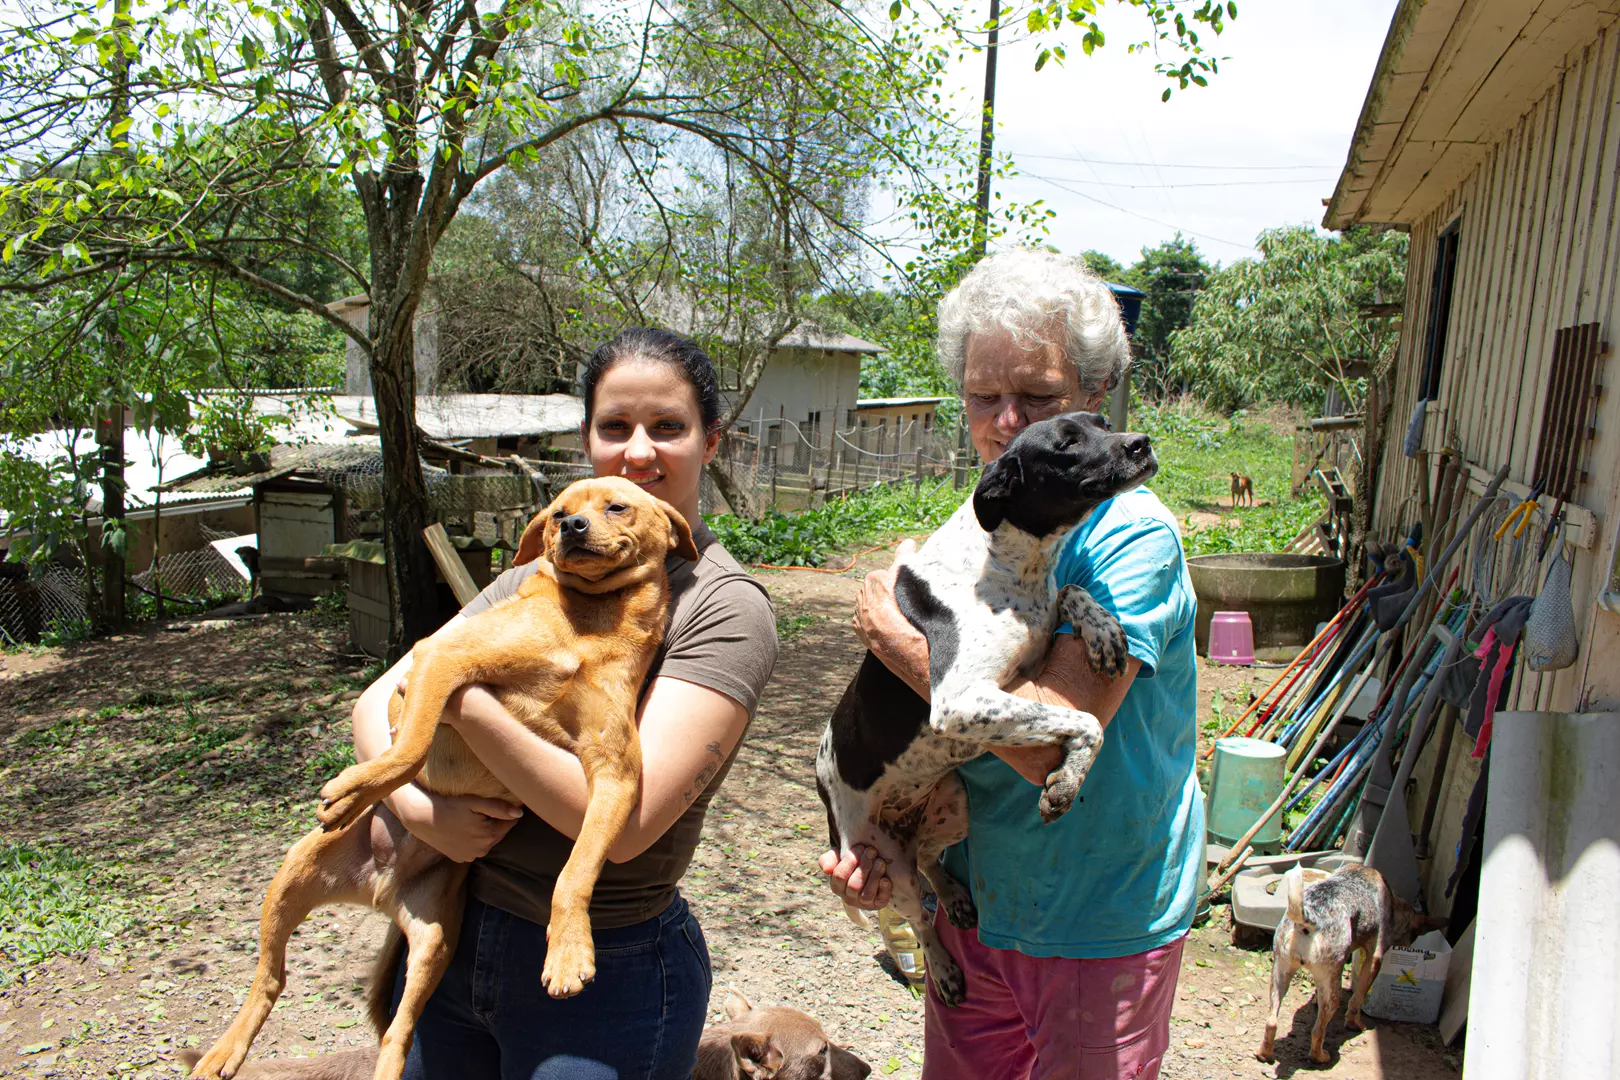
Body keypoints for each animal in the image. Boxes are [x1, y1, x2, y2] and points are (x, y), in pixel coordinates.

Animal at [189, 482, 696, 1080]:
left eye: (616, 506)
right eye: (556, 514)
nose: (571, 526)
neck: (593, 620)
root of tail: (378, 890)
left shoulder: (617, 774)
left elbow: (576, 873)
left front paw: (569, 950)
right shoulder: (440, 656)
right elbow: (409, 750)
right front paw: (353, 791)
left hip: (434, 943)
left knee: (399, 1029)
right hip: (291, 877)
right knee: (269, 978)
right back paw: (223, 1051)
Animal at [816, 414, 1159, 1003]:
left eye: (1102, 423)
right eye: (1066, 444)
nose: (1141, 444)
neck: (1012, 565)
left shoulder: (1031, 655)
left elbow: (1072, 590)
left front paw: (1104, 629)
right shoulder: (961, 700)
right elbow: (1087, 721)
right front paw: (1067, 782)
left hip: (953, 806)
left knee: (930, 860)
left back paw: (954, 895)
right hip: (880, 859)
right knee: (920, 918)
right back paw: (943, 968)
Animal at [1257, 861, 1451, 1062]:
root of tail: (1308, 917)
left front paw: (1316, 1000)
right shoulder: (1374, 960)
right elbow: (1358, 999)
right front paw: (1354, 1024)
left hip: (1279, 976)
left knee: (1272, 1022)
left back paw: (1265, 1053)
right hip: (1332, 995)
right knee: (1318, 1032)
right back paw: (1320, 1056)